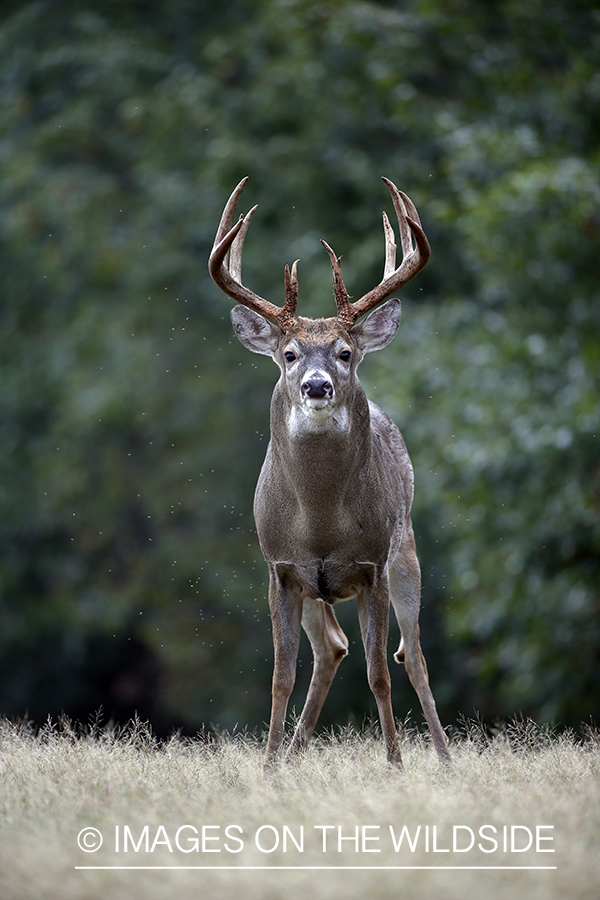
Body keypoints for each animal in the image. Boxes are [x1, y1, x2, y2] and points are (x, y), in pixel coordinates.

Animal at [209, 179, 448, 768]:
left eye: (344, 352)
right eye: (290, 353)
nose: (317, 386)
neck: (319, 523)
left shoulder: (373, 565)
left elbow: (381, 673)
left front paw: (395, 765)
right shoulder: (280, 568)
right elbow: (279, 676)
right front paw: (268, 766)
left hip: (407, 552)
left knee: (412, 655)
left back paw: (444, 757)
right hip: (317, 591)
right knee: (332, 649)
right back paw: (292, 754)